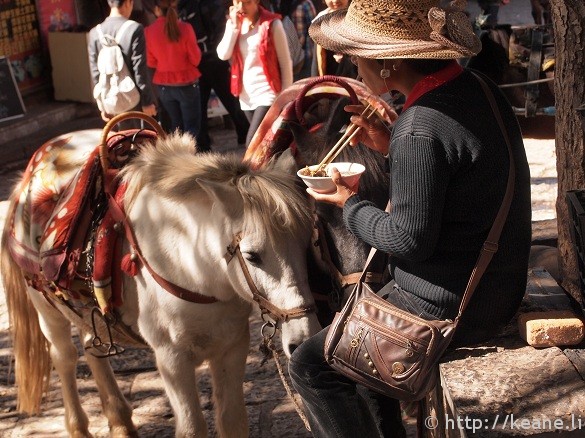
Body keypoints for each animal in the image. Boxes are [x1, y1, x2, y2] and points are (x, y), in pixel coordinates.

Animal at [1, 128, 320, 436]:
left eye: (307, 245)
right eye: (252, 256)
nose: (304, 338)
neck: (192, 264)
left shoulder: (232, 347)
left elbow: (233, 422)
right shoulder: (172, 359)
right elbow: (192, 429)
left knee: (93, 349)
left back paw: (120, 422)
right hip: (46, 307)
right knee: (64, 358)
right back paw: (78, 427)